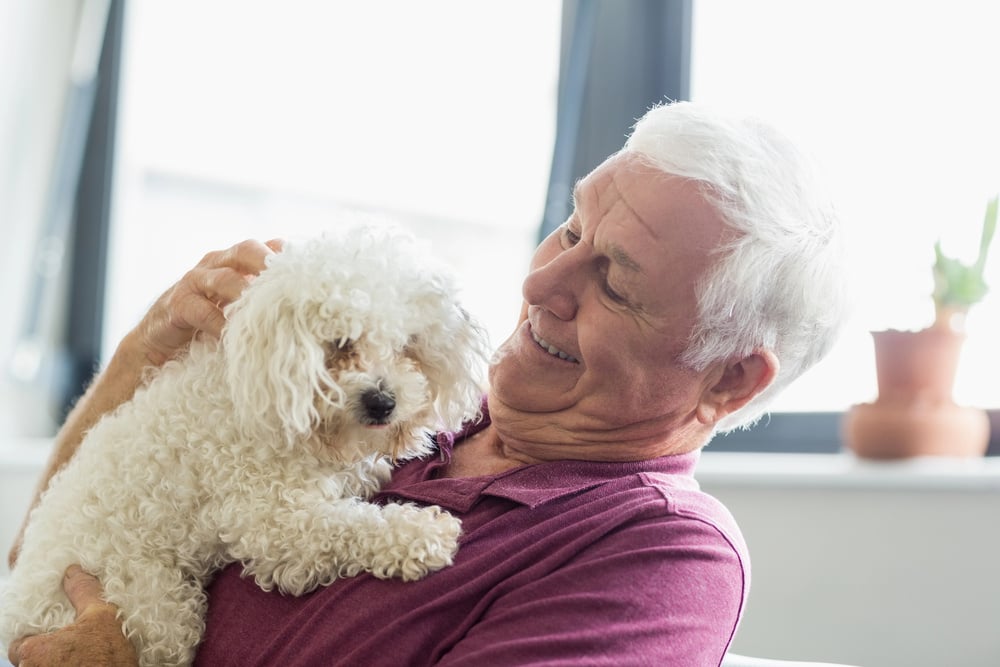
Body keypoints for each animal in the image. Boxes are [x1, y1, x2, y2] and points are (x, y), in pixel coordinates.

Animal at [0, 226, 492, 667]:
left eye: (408, 345)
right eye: (340, 343)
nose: (382, 402)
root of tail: (17, 610)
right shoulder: (275, 524)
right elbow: (350, 527)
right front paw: (421, 533)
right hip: (155, 607)